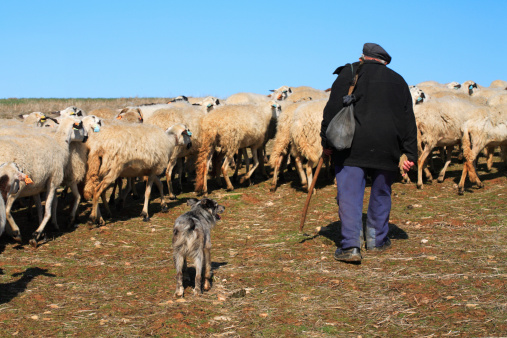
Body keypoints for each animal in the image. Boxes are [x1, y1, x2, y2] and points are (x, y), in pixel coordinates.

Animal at [0, 117, 88, 246]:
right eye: (80, 125)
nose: (86, 137)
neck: (60, 144)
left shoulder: (37, 186)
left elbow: (40, 209)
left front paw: (42, 231)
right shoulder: (53, 182)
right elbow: (48, 211)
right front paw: (36, 235)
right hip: (15, 186)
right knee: (6, 210)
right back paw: (16, 233)